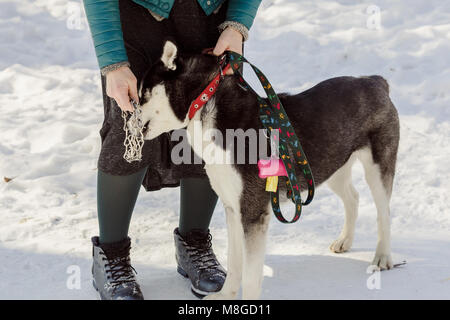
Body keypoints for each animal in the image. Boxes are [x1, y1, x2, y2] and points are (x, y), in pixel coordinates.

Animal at [134, 41, 400, 298]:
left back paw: (383, 256)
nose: (130, 116)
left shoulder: (253, 213)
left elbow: (251, 277)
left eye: (143, 94)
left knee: (384, 211)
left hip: (377, 168)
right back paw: (345, 240)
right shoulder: (233, 209)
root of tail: (374, 80)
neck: (207, 104)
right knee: (353, 197)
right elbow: (234, 264)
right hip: (329, 166)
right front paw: (225, 296)